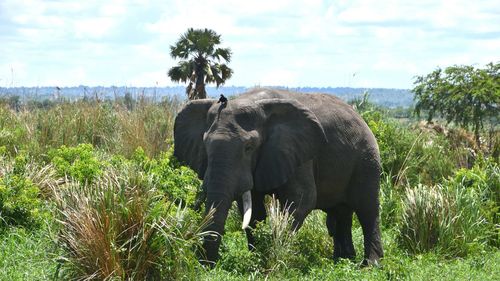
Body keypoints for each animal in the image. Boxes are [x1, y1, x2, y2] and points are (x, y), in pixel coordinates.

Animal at [174, 87, 384, 264]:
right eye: (205, 145)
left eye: (249, 147)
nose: (208, 263)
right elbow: (252, 210)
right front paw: (257, 258)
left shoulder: (298, 151)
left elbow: (301, 200)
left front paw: (273, 257)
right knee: (340, 213)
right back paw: (343, 260)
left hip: (367, 159)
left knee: (367, 210)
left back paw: (369, 265)